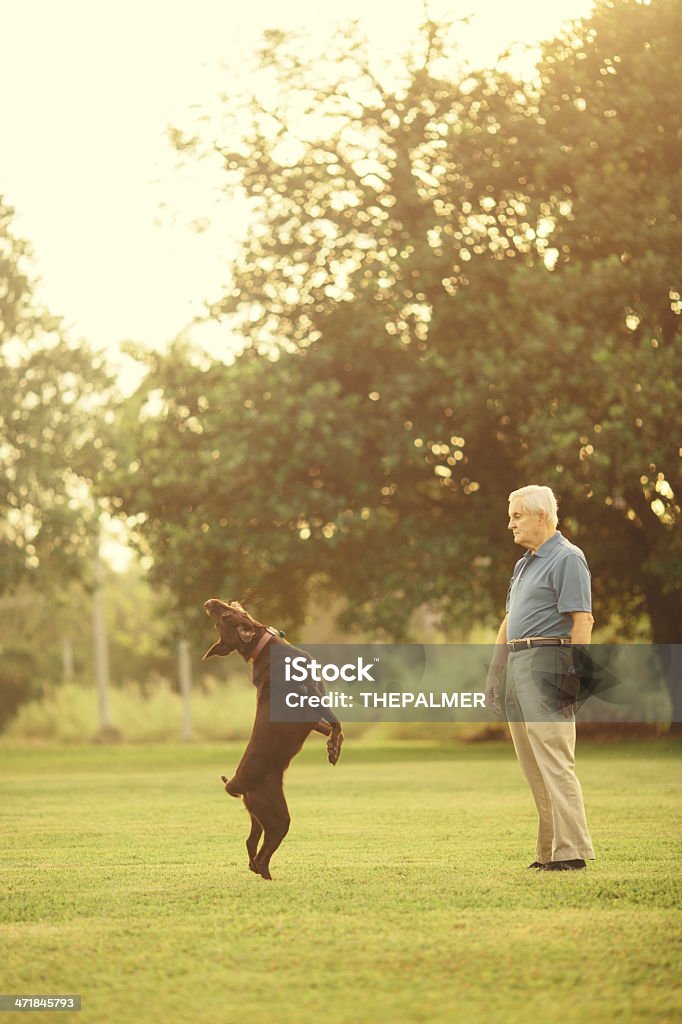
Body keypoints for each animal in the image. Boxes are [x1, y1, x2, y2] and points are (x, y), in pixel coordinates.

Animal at [200, 598, 339, 880]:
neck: (263, 646)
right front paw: (335, 746)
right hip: (277, 818)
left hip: (258, 815)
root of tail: (237, 784)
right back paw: (267, 875)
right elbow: (336, 723)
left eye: (224, 617)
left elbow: (328, 726)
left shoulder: (311, 717)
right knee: (263, 855)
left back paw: (254, 867)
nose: (208, 603)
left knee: (250, 843)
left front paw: (331, 747)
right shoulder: (311, 695)